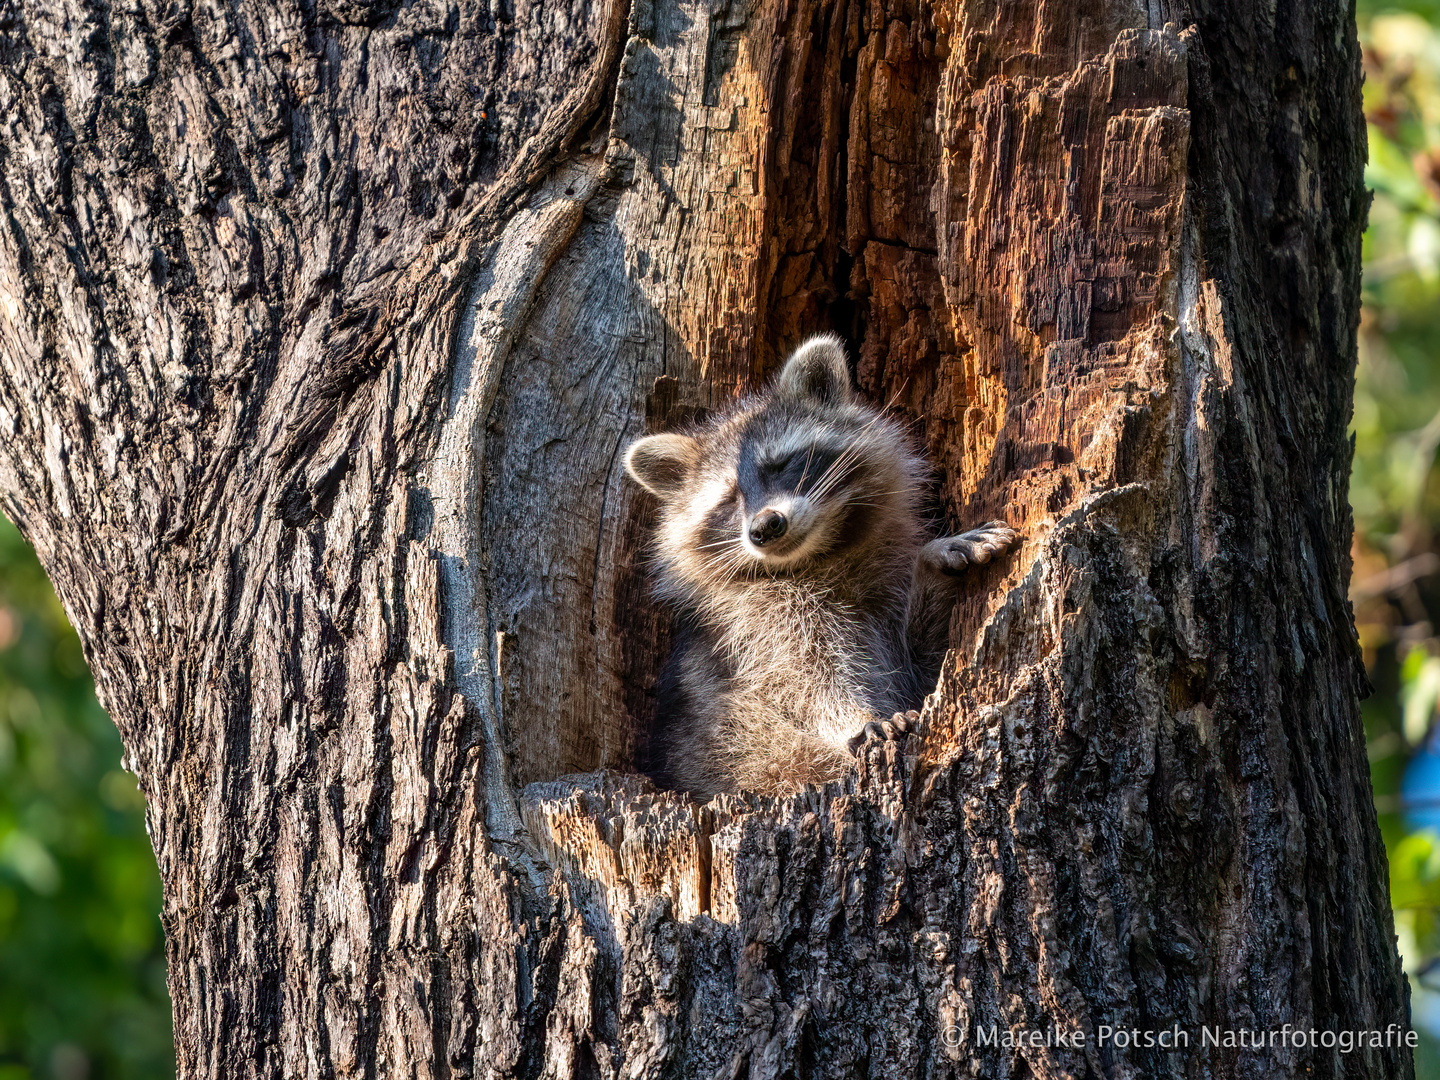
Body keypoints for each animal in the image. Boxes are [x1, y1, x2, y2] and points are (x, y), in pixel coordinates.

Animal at [624, 338, 1019, 806]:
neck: (819, 557)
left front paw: (933, 561)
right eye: (729, 499)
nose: (764, 527)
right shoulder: (756, 628)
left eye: (780, 465)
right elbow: (804, 682)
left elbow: (920, 665)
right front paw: (853, 717)